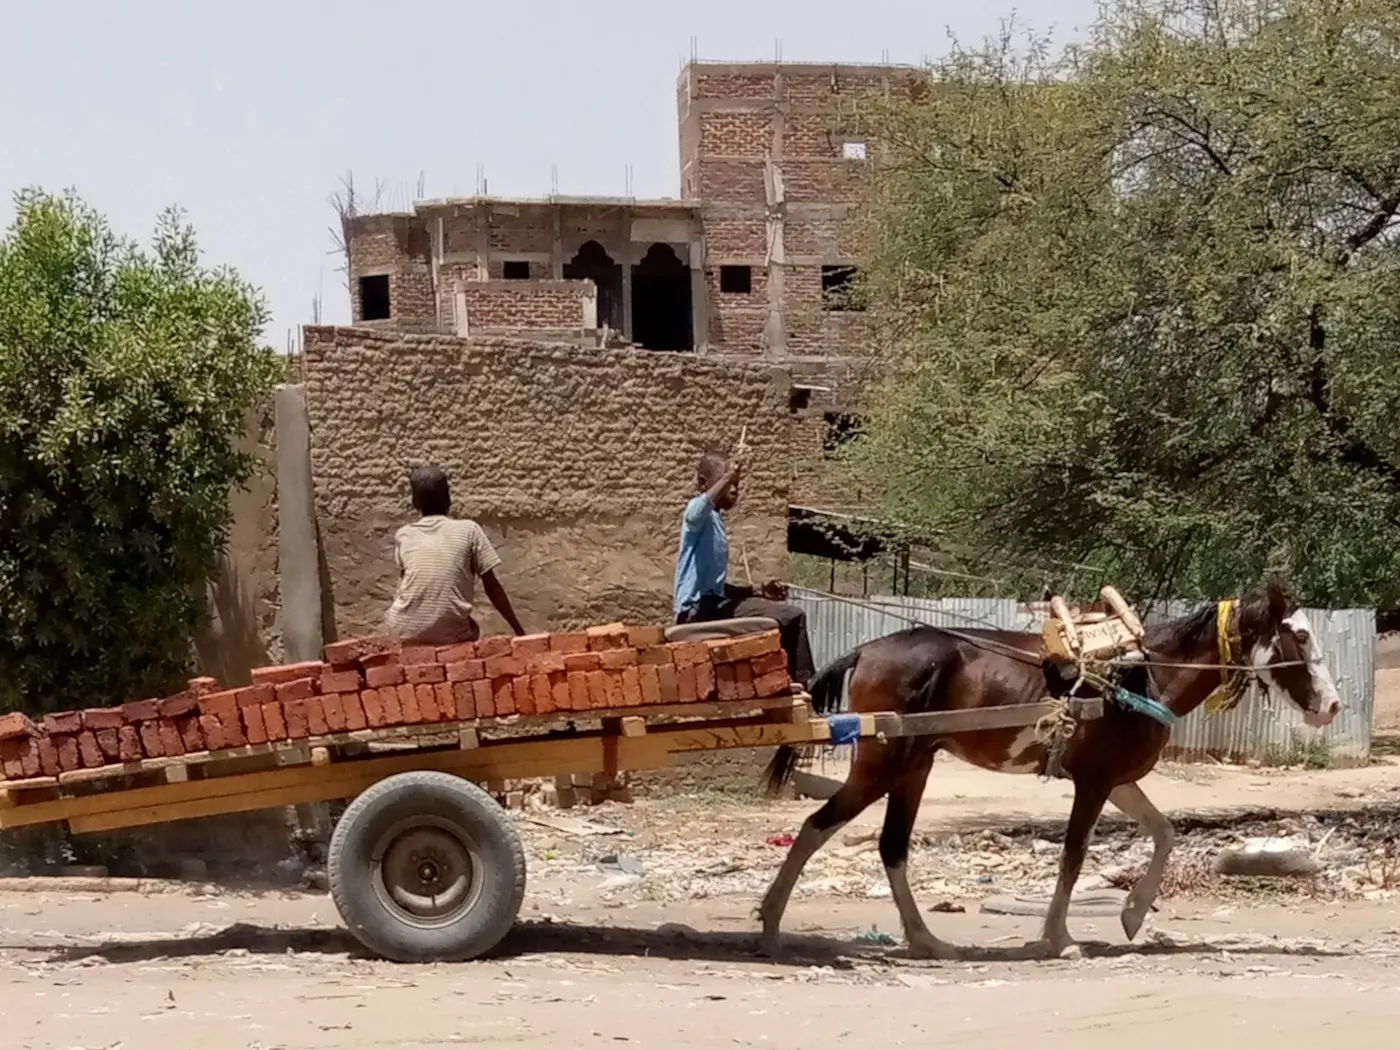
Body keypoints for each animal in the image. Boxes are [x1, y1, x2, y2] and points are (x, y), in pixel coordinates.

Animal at [761, 585, 1338, 963]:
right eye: (1298, 637)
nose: (1331, 706)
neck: (1141, 673)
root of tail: (866, 650)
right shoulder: (1094, 782)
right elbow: (1074, 856)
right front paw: (1060, 938)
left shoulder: (1117, 779)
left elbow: (1164, 832)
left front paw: (1132, 913)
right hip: (883, 765)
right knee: (817, 826)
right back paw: (770, 920)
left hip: (914, 766)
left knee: (891, 848)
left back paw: (925, 940)